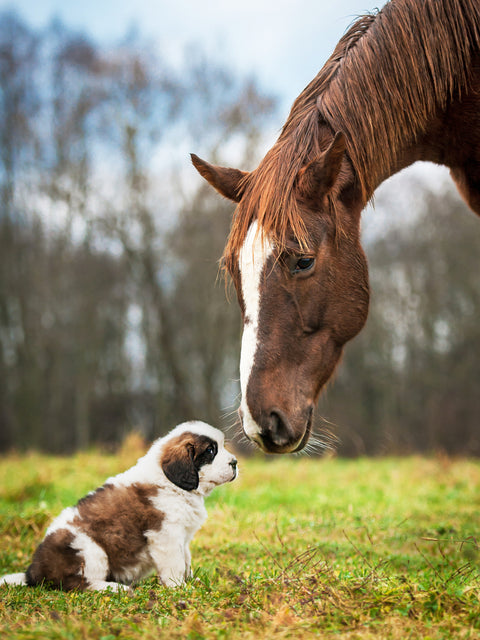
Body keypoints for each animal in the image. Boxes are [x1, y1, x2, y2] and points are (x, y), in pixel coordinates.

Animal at [0, 422, 237, 592]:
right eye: (210, 451)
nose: (234, 463)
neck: (172, 483)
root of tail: (33, 572)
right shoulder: (165, 535)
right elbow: (175, 563)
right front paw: (178, 587)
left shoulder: (183, 537)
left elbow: (186, 560)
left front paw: (192, 581)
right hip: (88, 549)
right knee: (75, 584)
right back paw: (114, 588)